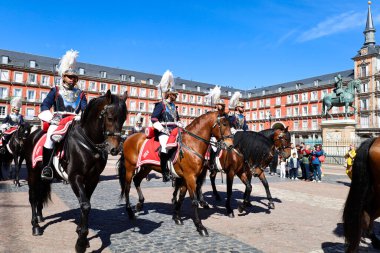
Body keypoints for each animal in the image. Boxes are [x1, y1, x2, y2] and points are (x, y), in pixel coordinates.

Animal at [24, 90, 127, 252]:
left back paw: (40, 216)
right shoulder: (75, 177)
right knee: (33, 197)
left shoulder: (93, 179)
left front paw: (80, 232)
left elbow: (86, 203)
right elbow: (85, 205)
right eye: (110, 117)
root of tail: (33, 135)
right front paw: (81, 241)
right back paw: (35, 226)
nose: (114, 149)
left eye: (124, 119)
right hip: (32, 173)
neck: (88, 144)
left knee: (39, 194)